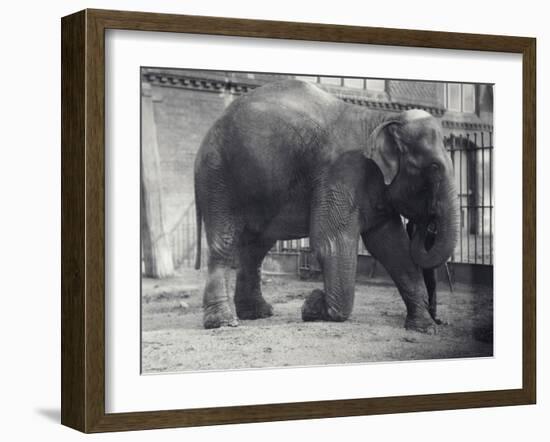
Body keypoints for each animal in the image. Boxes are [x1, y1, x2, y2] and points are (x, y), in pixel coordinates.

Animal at [194, 80, 462, 332]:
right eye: (434, 168)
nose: (427, 222)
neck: (380, 119)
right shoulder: (340, 171)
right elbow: (332, 242)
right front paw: (312, 305)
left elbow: (393, 247)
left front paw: (424, 328)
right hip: (218, 177)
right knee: (224, 242)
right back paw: (224, 322)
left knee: (256, 248)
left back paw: (256, 313)